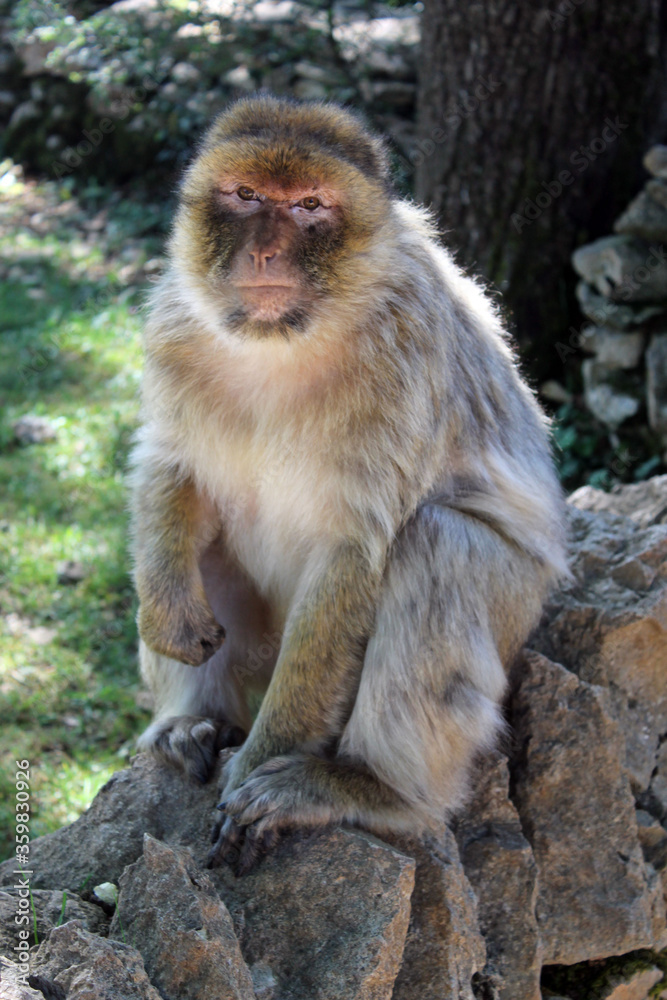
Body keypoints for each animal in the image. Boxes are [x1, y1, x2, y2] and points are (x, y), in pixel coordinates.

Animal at [132, 97, 568, 872]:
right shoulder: (176, 324)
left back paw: (373, 788)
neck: (285, 342)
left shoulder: (404, 360)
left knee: (436, 543)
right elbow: (173, 464)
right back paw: (190, 723)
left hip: (518, 609)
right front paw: (167, 609)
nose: (265, 252)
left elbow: (355, 555)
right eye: (246, 195)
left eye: (310, 206)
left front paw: (265, 762)